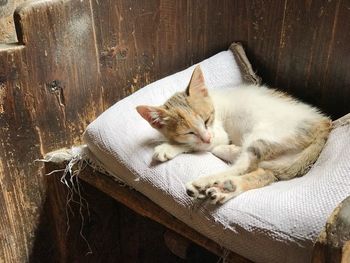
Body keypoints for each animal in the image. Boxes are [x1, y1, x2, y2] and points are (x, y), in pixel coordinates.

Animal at [135, 65, 330, 204]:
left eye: (207, 119)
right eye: (189, 132)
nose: (207, 137)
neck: (214, 101)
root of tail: (324, 124)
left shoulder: (219, 133)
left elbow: (198, 145)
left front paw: (168, 147)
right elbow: (198, 143)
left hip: (265, 134)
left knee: (243, 165)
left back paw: (206, 181)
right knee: (262, 173)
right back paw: (226, 186)